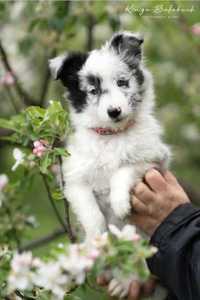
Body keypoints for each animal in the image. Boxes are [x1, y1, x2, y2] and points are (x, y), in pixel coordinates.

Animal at [49, 31, 170, 298]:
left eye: (122, 83)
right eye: (93, 90)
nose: (114, 111)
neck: (111, 136)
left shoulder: (153, 158)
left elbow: (123, 170)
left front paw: (119, 204)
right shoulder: (75, 180)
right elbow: (92, 215)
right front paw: (96, 240)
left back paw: (124, 282)